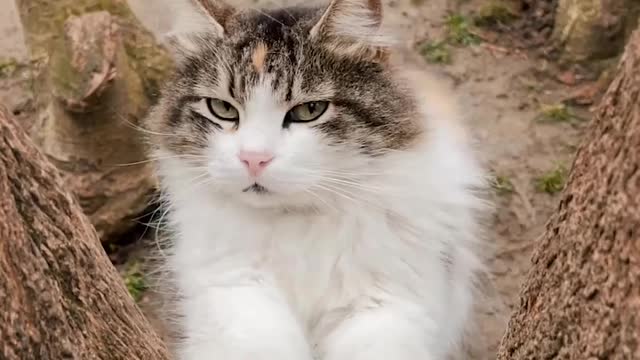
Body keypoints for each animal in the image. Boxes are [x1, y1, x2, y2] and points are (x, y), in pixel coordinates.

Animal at [145, 1, 490, 358]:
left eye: (309, 110)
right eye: (222, 109)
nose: (254, 158)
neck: (297, 225)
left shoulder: (385, 303)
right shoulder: (233, 289)